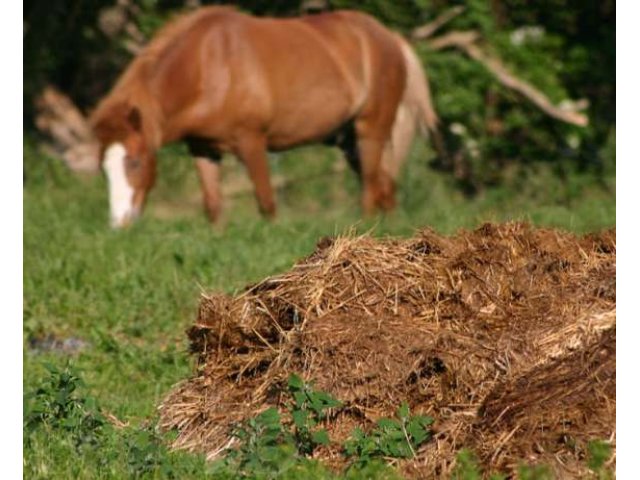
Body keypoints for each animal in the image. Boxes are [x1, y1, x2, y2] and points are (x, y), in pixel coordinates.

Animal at [90, 5, 440, 227]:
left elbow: (266, 203)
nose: (119, 223)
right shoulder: (203, 149)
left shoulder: (252, 142)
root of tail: (390, 37)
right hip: (348, 140)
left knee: (370, 188)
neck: (208, 66)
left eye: (135, 162)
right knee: (385, 187)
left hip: (371, 131)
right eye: (103, 168)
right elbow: (213, 207)